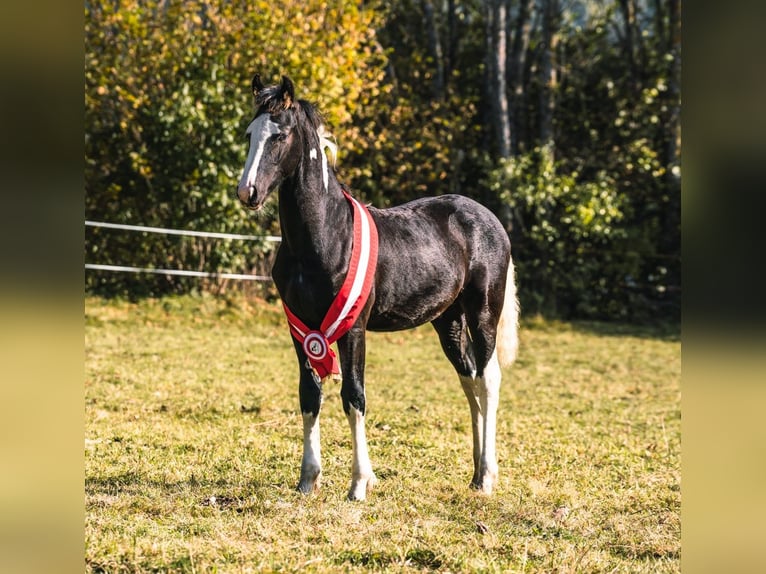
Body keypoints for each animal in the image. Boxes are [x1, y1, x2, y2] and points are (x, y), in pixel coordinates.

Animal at [237, 74, 520, 502]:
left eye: (280, 135)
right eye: (250, 134)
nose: (248, 192)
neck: (324, 236)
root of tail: (489, 220)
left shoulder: (352, 328)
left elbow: (354, 397)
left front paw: (359, 484)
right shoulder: (301, 328)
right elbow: (309, 396)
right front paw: (307, 480)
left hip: (483, 312)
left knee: (488, 380)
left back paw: (487, 476)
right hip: (448, 322)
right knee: (468, 378)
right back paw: (474, 473)